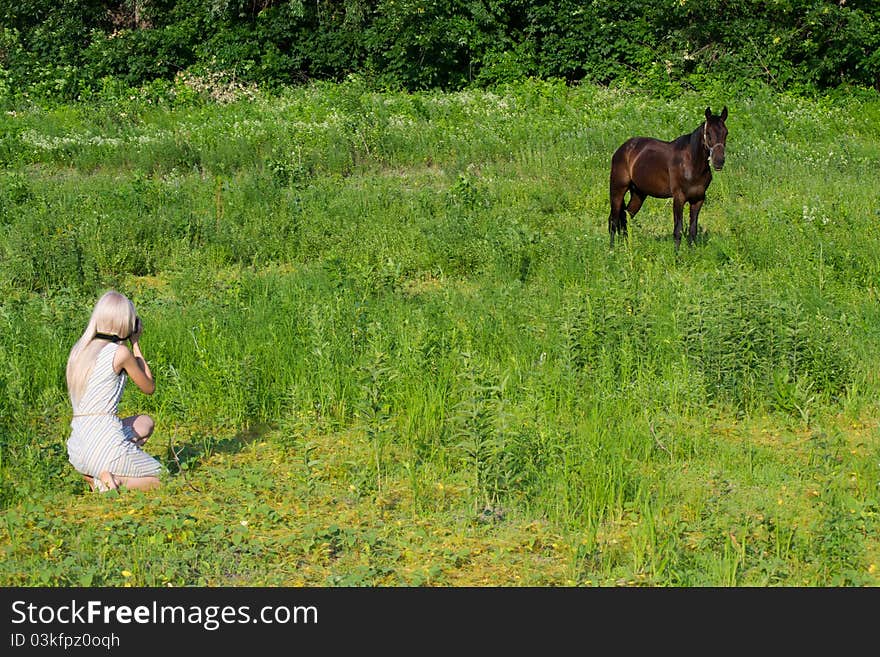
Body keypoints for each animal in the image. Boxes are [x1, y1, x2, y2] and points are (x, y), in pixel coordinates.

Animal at [612, 105, 728, 249]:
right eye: (708, 133)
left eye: (726, 133)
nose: (719, 161)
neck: (691, 163)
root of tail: (622, 148)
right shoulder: (678, 198)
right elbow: (678, 230)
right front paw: (676, 255)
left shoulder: (698, 199)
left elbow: (693, 230)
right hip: (617, 189)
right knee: (613, 220)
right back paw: (612, 250)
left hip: (639, 193)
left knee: (625, 216)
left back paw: (627, 248)